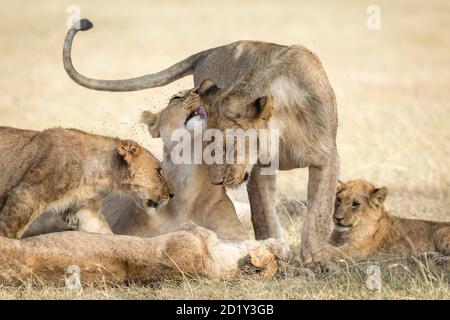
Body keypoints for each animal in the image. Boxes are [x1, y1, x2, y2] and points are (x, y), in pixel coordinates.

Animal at [0, 125, 171, 238]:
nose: (172, 194)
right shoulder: (27, 195)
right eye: (159, 170)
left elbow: (104, 231)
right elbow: (9, 232)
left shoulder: (81, 207)